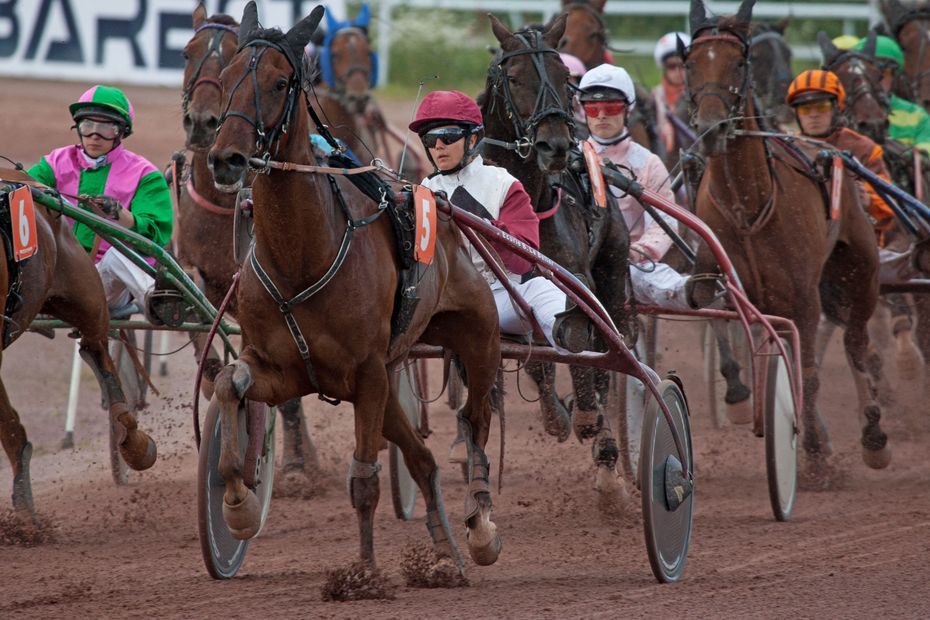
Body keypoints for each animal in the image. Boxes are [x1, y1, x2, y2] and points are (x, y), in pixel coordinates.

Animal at [174, 3, 320, 484]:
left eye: (232, 52)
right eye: (187, 53)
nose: (203, 123)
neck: (224, 207)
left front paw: (295, 462)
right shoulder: (196, 267)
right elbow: (193, 301)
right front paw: (212, 373)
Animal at [208, 2, 504, 580]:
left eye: (279, 82)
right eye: (227, 79)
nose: (225, 158)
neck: (302, 259)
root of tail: (443, 208)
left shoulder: (365, 372)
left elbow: (364, 480)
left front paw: (363, 574)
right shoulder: (281, 370)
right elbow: (229, 382)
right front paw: (237, 504)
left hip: (475, 339)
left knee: (475, 421)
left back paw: (479, 523)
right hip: (388, 384)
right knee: (423, 461)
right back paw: (443, 555)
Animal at [478, 13, 632, 498]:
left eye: (566, 76)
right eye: (513, 77)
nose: (556, 146)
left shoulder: (579, 278)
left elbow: (582, 342)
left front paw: (588, 419)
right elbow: (536, 360)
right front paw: (558, 416)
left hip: (614, 267)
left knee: (610, 350)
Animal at [688, 0, 892, 484]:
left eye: (739, 62)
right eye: (691, 62)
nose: (711, 128)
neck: (749, 206)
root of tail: (829, 148)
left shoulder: (803, 296)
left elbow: (811, 372)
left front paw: (814, 451)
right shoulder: (722, 277)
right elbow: (717, 315)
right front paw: (743, 397)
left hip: (861, 272)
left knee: (857, 344)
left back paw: (872, 435)